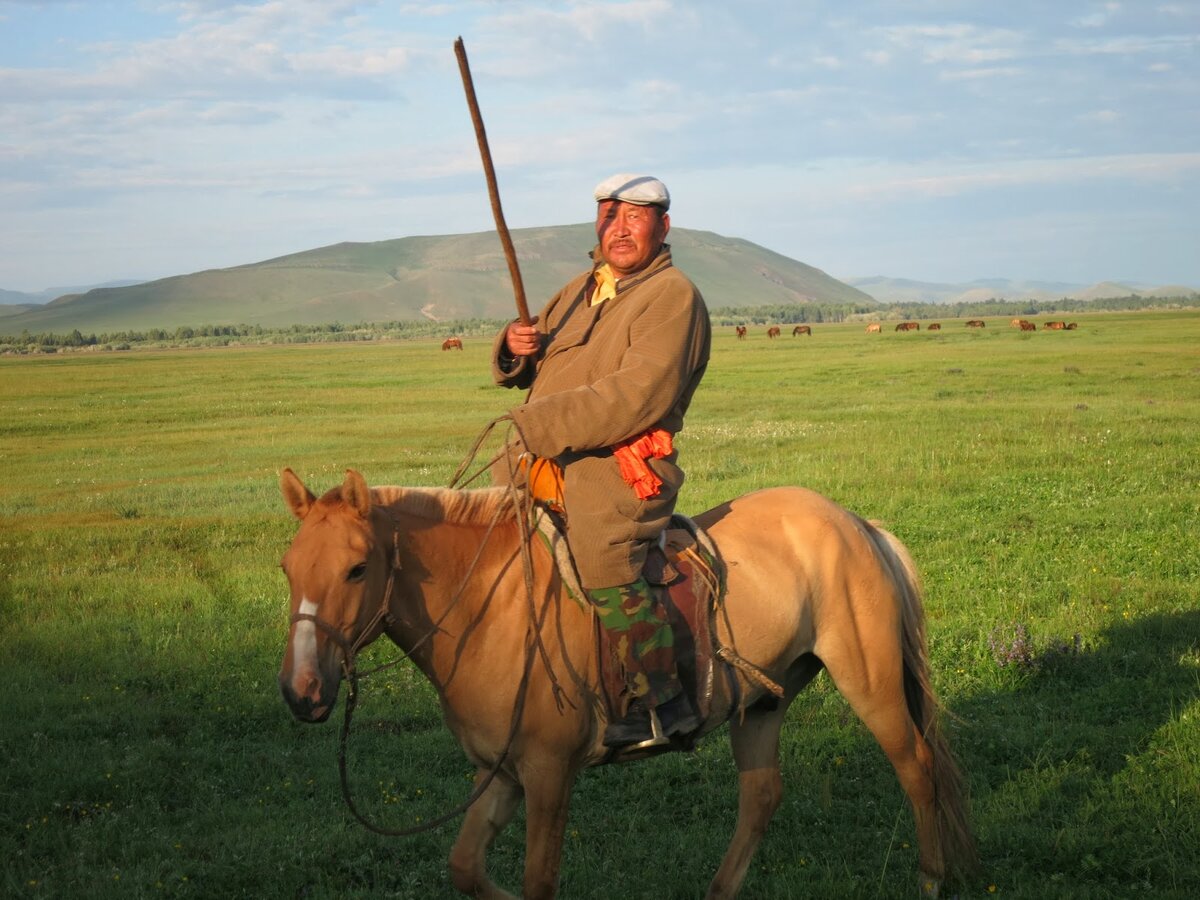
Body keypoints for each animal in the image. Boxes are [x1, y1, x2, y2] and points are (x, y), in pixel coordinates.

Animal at [278, 468, 974, 897]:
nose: (301, 690)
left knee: (916, 765)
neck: (490, 606)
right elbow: (466, 867)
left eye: (357, 568)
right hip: (763, 699)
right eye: (287, 566)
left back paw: (931, 878)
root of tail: (856, 524)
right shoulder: (498, 773)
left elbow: (538, 882)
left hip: (869, 679)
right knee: (762, 795)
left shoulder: (549, 774)